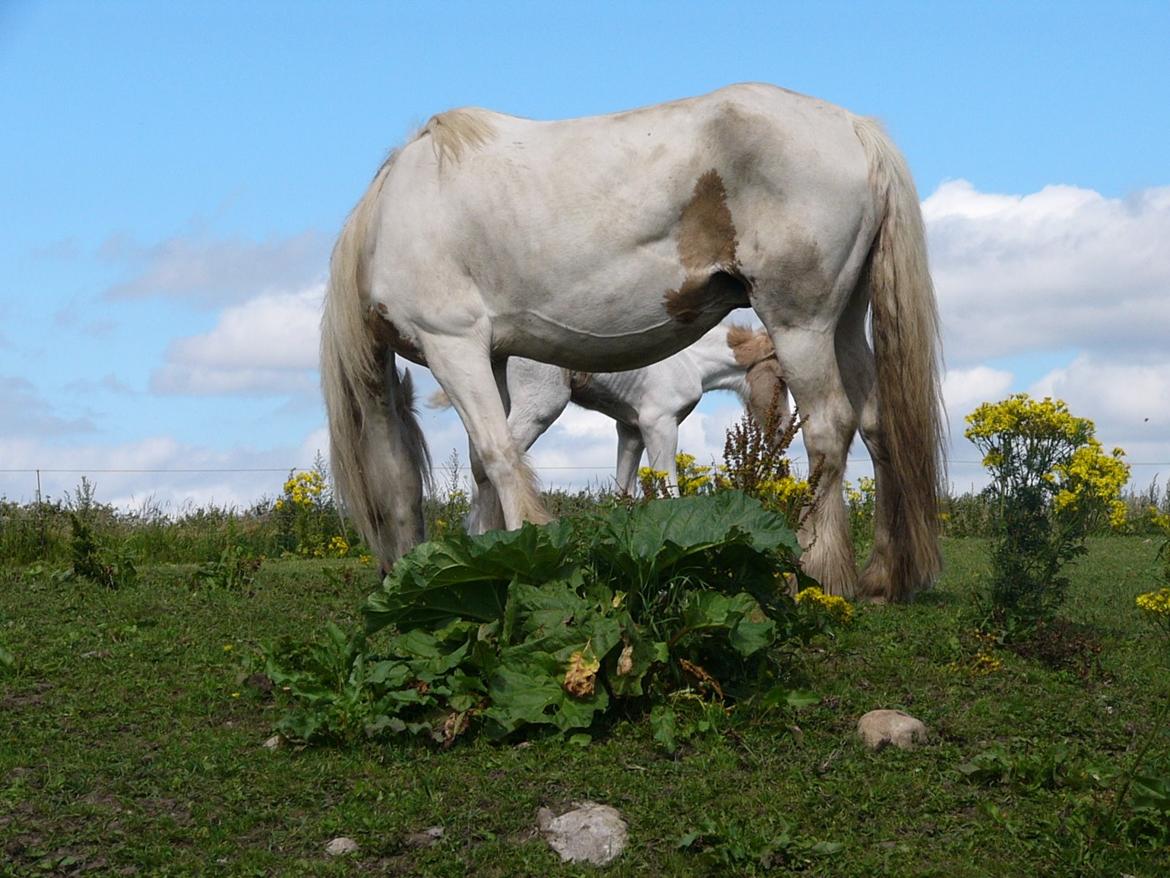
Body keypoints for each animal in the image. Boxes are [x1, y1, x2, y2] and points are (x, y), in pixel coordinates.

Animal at [432, 323, 795, 529]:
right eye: (781, 379)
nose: (782, 432)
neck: (690, 361)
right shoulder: (660, 425)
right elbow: (669, 491)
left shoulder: (630, 431)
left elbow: (624, 492)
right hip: (539, 407)